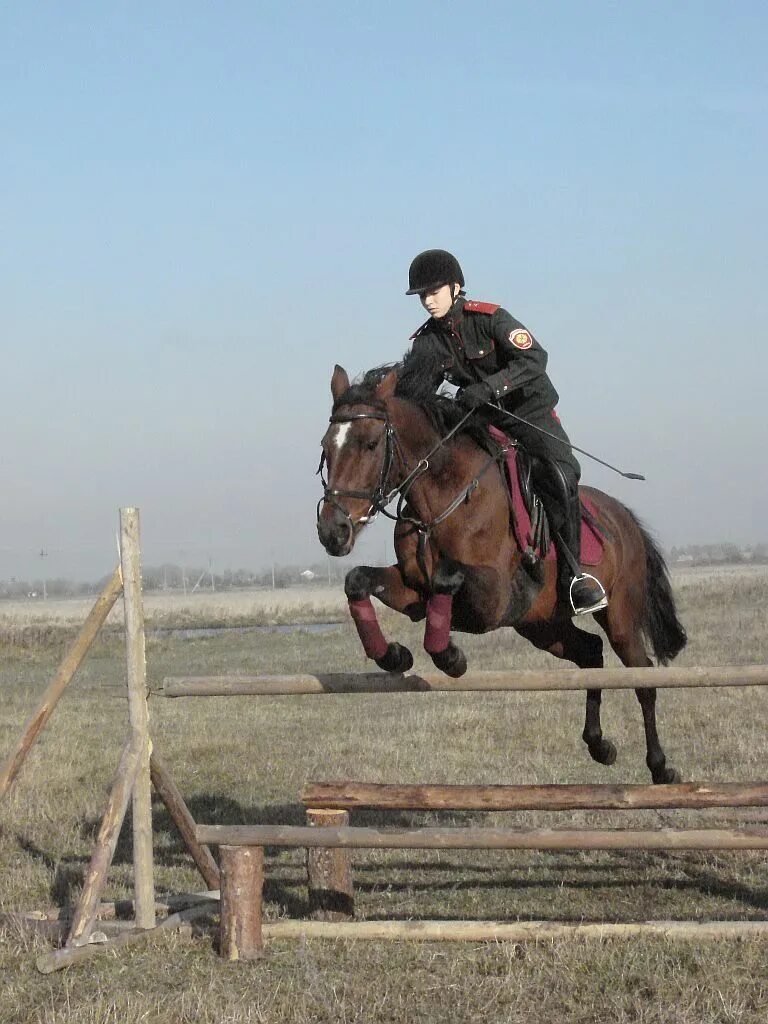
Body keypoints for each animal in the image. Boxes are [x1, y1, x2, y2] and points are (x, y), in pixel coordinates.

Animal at [315, 352, 688, 782]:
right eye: (325, 448)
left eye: (371, 444)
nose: (333, 531)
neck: (442, 497)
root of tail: (624, 516)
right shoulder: (412, 589)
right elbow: (358, 580)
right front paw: (393, 655)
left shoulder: (493, 598)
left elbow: (447, 579)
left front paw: (451, 658)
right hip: (541, 624)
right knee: (590, 655)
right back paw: (600, 745)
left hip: (620, 615)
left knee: (642, 677)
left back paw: (660, 767)